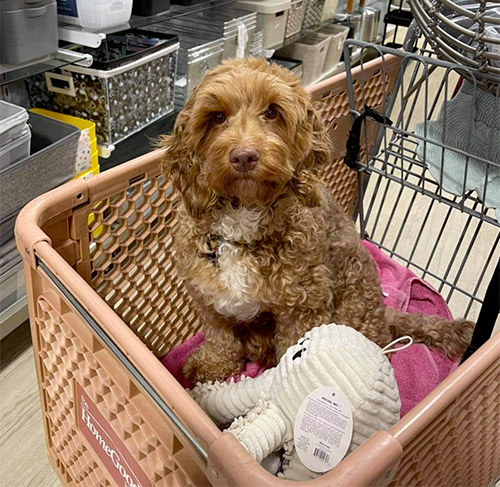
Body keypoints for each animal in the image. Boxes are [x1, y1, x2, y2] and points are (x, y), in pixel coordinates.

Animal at [160, 57, 472, 386]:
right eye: (217, 117)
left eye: (272, 112)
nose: (244, 156)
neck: (244, 215)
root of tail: (382, 311)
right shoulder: (208, 296)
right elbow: (220, 338)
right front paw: (213, 368)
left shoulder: (303, 304)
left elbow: (292, 344)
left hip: (352, 302)